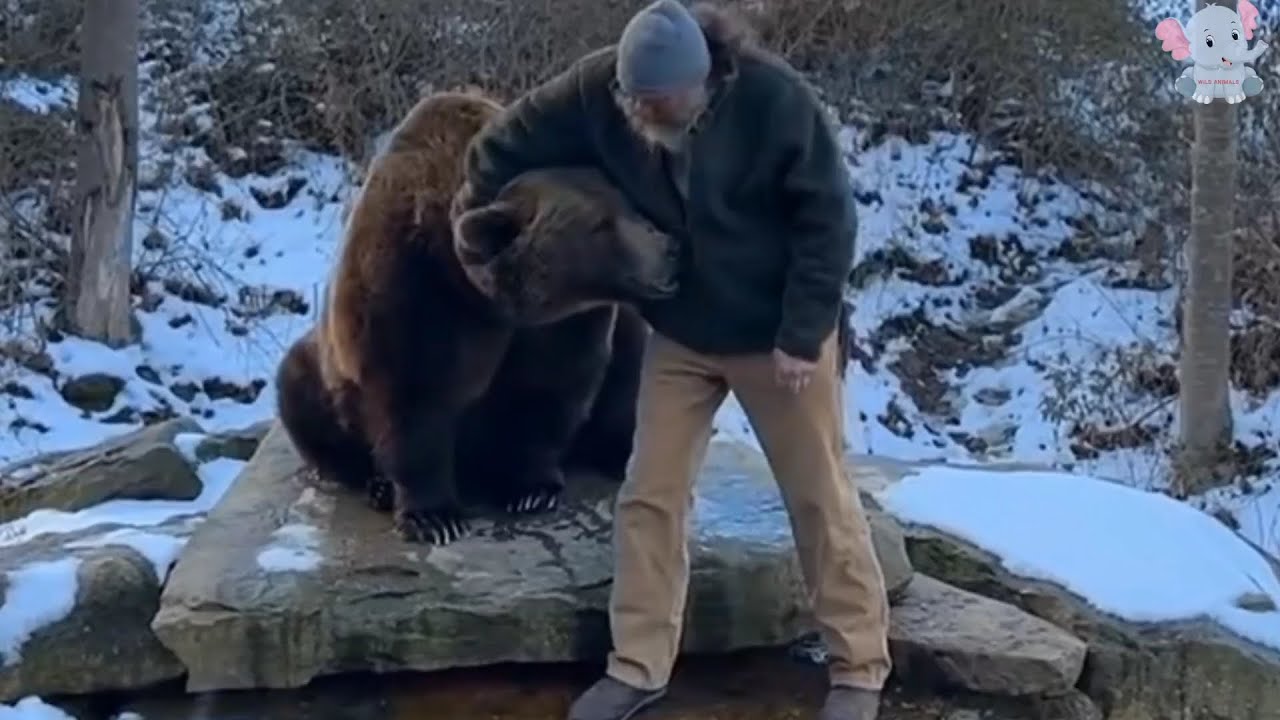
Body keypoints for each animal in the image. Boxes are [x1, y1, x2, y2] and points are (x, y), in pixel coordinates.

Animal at [273, 90, 680, 546]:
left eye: (627, 204)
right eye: (601, 224)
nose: (670, 250)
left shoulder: (559, 325)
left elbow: (547, 390)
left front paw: (530, 489)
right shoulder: (412, 292)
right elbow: (412, 401)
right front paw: (435, 517)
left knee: (629, 376)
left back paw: (618, 452)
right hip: (321, 369)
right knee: (301, 393)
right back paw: (375, 484)